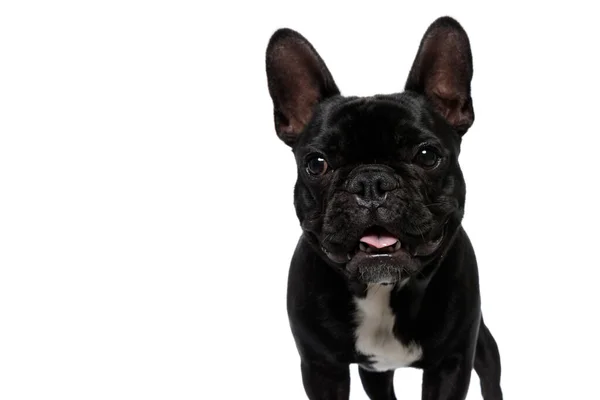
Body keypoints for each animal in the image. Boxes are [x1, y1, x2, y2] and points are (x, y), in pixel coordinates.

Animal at [264, 16, 504, 400]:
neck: (381, 290)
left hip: (483, 347)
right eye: (316, 164)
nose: (371, 182)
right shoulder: (321, 368)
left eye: (427, 155)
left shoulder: (452, 363)